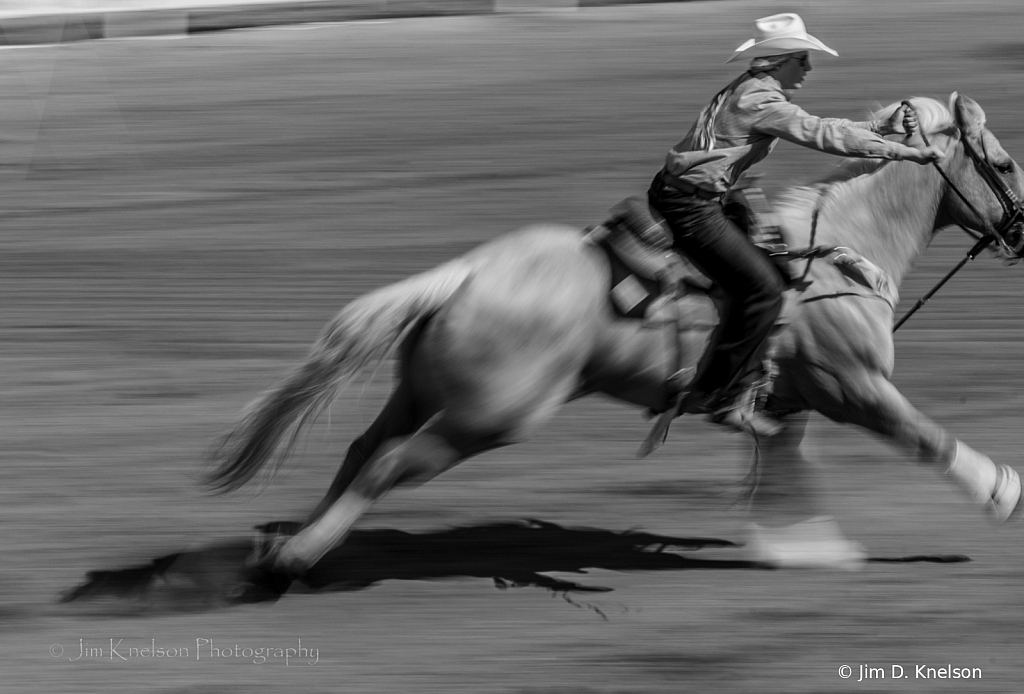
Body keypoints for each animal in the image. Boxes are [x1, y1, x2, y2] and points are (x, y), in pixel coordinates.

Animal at [207, 95, 1024, 577]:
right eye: (1005, 163)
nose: (1021, 231)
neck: (839, 250)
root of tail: (467, 274)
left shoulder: (787, 402)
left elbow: (786, 466)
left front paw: (803, 546)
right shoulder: (855, 388)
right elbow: (924, 436)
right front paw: (1004, 494)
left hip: (421, 392)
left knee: (361, 451)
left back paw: (290, 540)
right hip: (489, 417)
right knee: (385, 466)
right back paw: (293, 559)